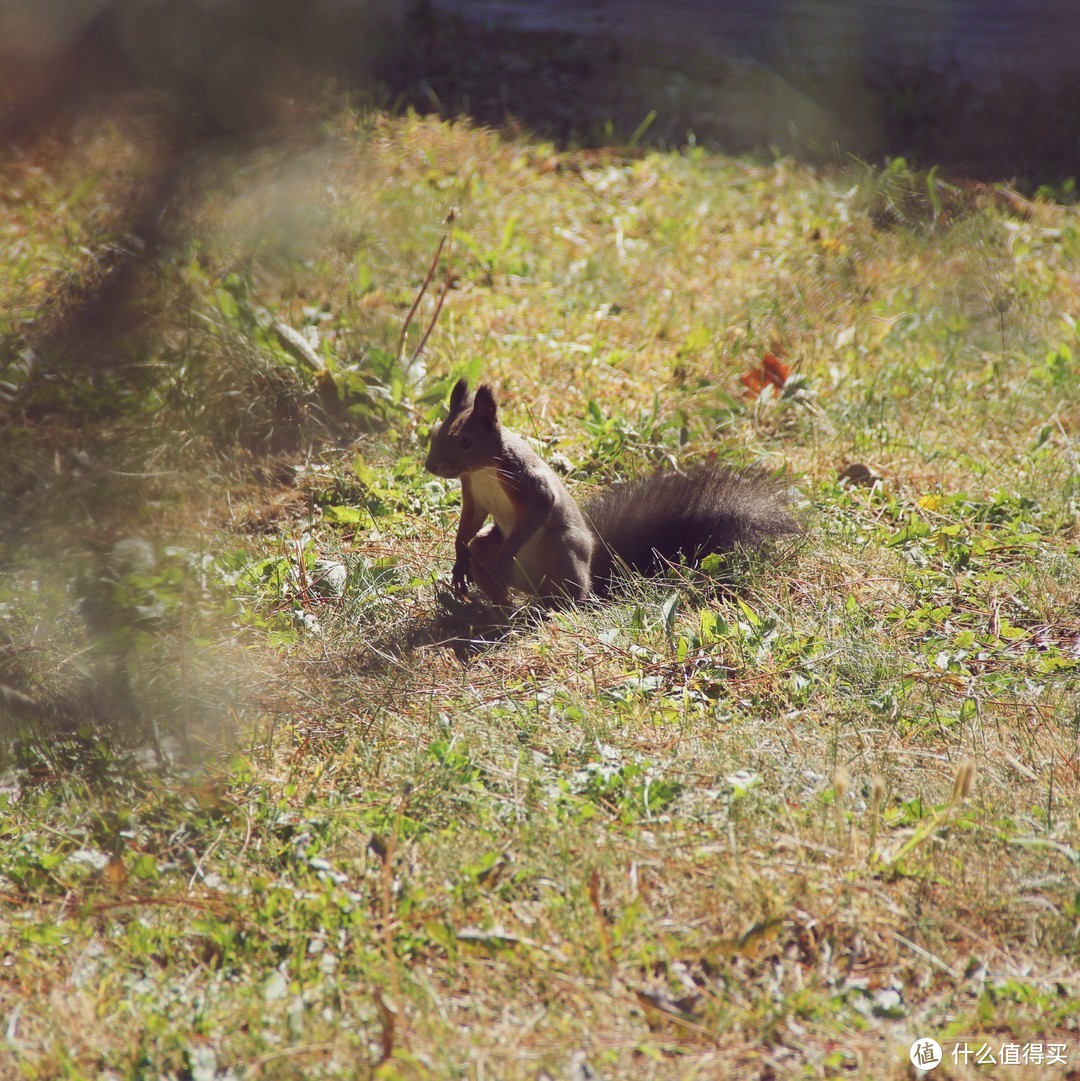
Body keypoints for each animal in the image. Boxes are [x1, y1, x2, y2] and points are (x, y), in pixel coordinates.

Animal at [425, 378, 799, 601]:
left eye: (466, 441)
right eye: (436, 432)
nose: (431, 467)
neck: (484, 470)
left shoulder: (526, 479)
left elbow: (540, 507)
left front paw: (505, 556)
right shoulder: (474, 494)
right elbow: (468, 525)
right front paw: (457, 561)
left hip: (561, 548)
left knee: (570, 597)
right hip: (494, 549)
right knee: (482, 552)